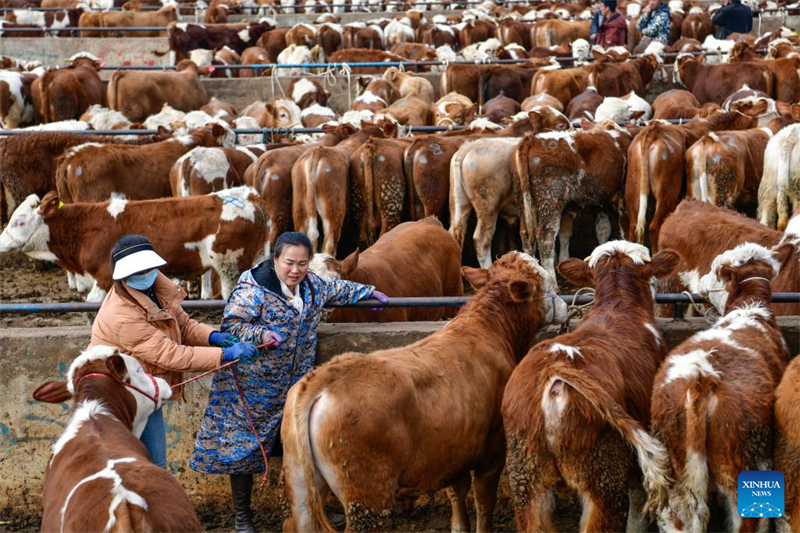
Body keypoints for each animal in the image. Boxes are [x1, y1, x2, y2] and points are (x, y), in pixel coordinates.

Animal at [282, 250, 568, 532]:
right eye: (547, 285)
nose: (566, 307)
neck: (488, 330)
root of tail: (322, 380)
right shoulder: (493, 450)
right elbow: (484, 501)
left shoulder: (454, 450)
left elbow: (457, 495)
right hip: (366, 498)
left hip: (299, 483)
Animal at [652, 243, 792, 532]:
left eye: (715, 269)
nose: (702, 282)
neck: (750, 310)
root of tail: (700, 378)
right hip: (741, 464)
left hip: (671, 457)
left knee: (671, 516)